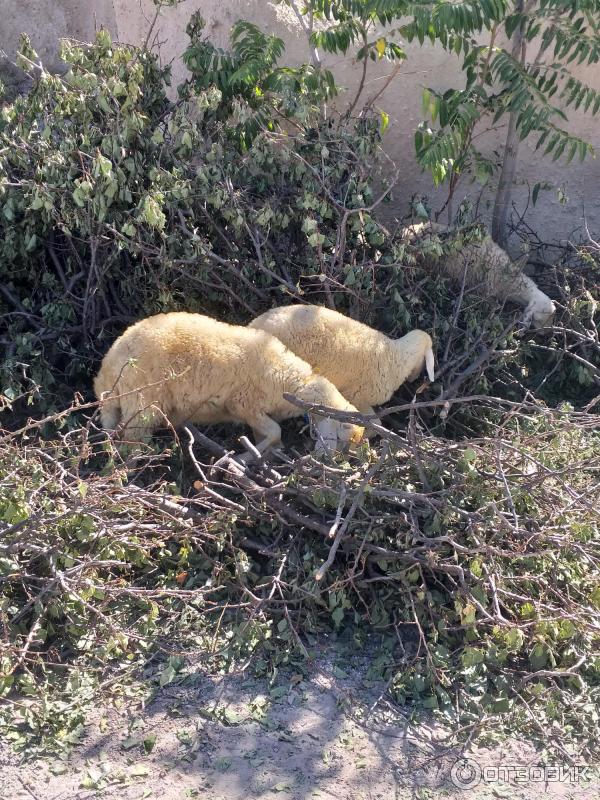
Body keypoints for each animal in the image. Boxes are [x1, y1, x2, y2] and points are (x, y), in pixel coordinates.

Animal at [94, 312, 366, 456]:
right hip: (141, 401)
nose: (328, 460)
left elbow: (267, 433)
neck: (288, 380)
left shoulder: (257, 413)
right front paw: (249, 454)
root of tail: (107, 366)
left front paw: (269, 452)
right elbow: (274, 431)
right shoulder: (244, 404)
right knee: (131, 441)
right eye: (342, 437)